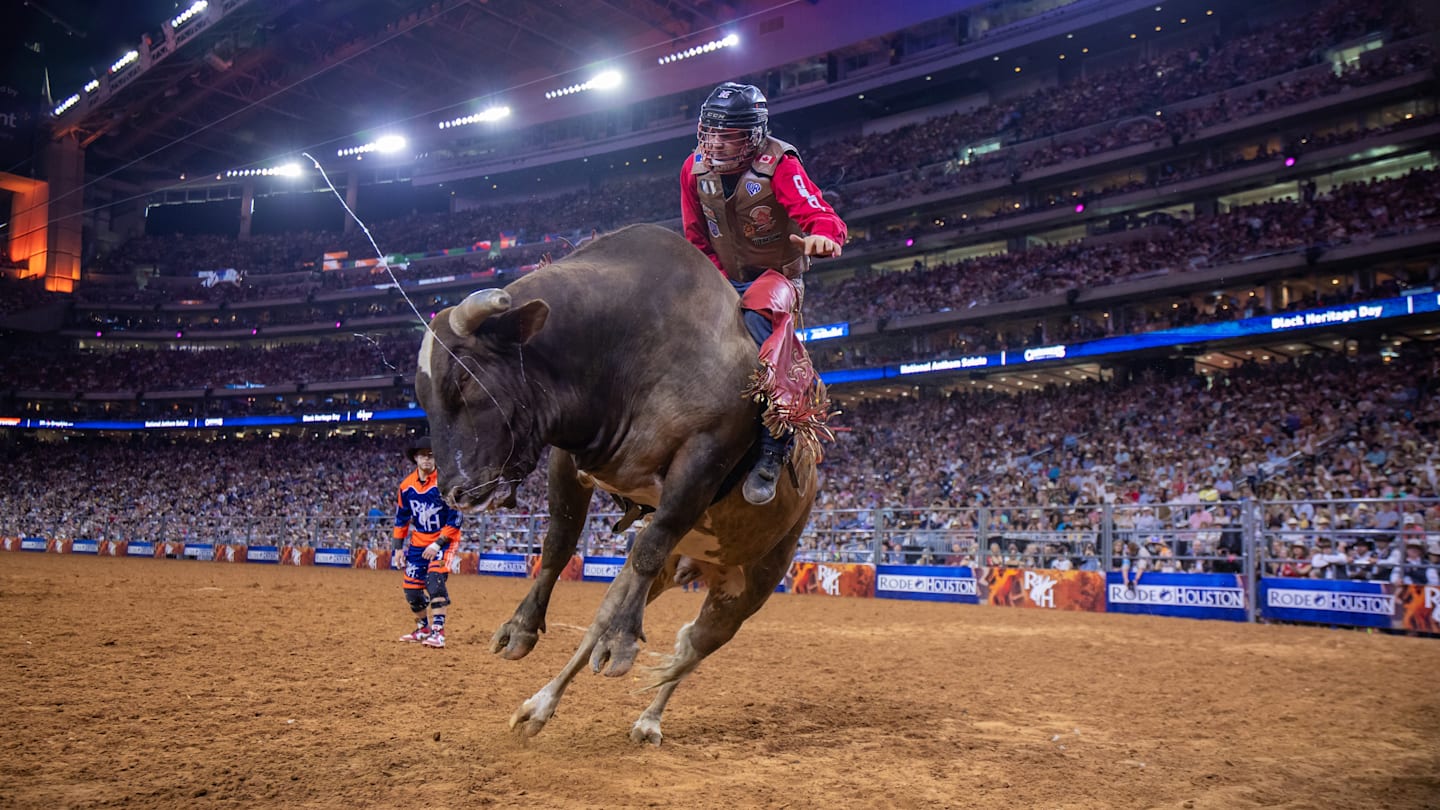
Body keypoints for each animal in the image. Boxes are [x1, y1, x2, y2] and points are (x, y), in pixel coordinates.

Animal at [414, 223, 820, 745]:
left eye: (464, 384)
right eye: (422, 397)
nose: (456, 492)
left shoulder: (702, 458)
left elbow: (650, 542)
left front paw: (625, 642)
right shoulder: (568, 458)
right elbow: (559, 542)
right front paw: (521, 625)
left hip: (754, 582)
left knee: (692, 647)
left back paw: (647, 715)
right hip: (674, 567)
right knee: (603, 625)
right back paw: (541, 706)